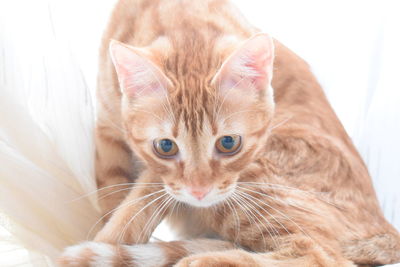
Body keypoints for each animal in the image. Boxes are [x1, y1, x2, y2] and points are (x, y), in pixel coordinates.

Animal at [58, 0, 400, 266]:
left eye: (228, 143)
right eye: (166, 146)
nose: (198, 192)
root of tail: (386, 228)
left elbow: (137, 206)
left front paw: (103, 244)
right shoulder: (109, 135)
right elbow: (114, 199)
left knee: (320, 254)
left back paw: (204, 259)